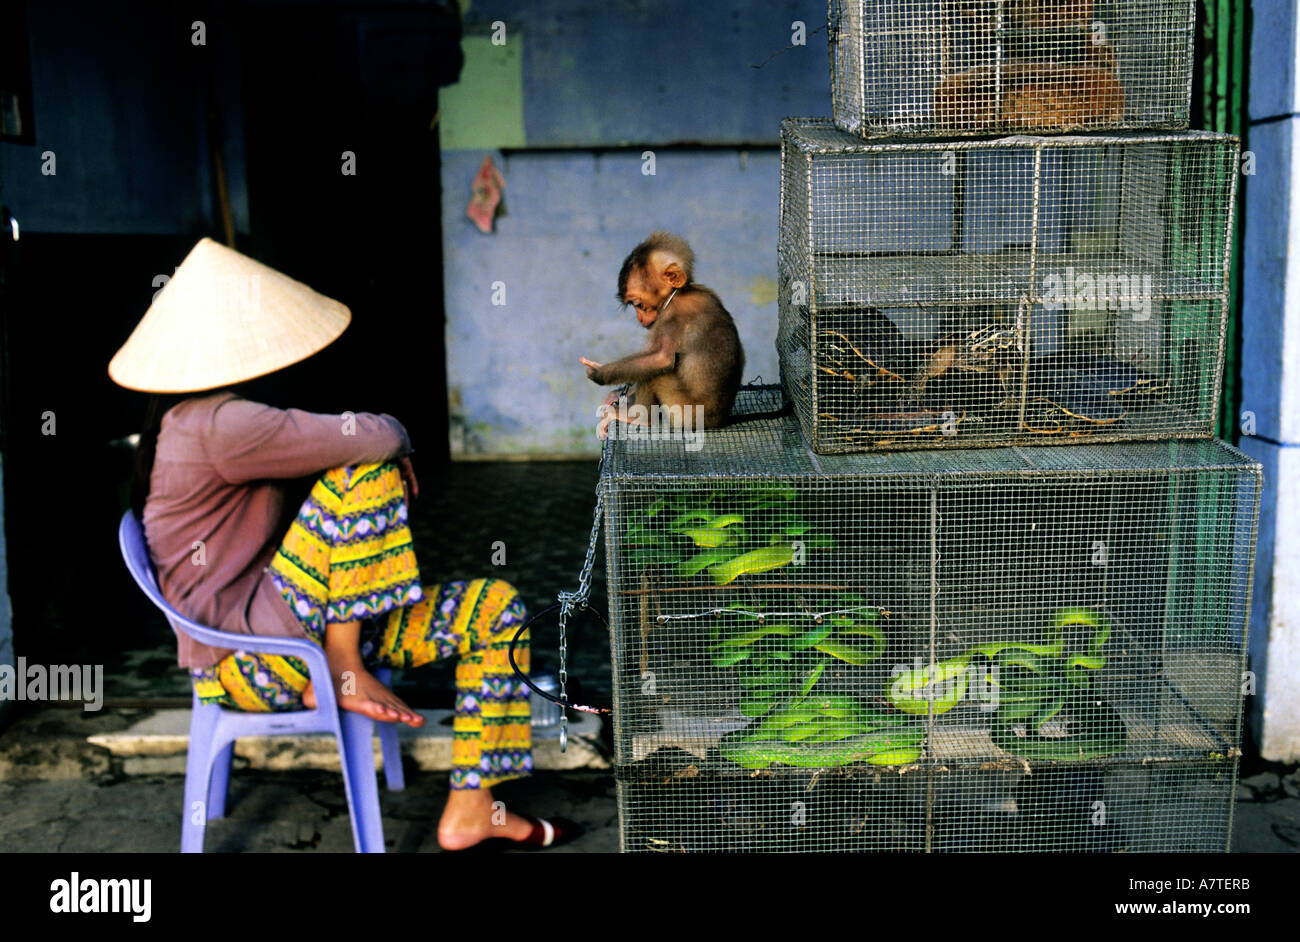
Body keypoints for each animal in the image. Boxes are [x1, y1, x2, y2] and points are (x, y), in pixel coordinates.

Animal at [581, 232, 746, 437]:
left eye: (639, 305)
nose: (640, 318)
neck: (680, 293)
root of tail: (718, 421)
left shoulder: (671, 316)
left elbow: (661, 359)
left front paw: (598, 372)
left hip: (684, 412)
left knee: (658, 372)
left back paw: (640, 418)